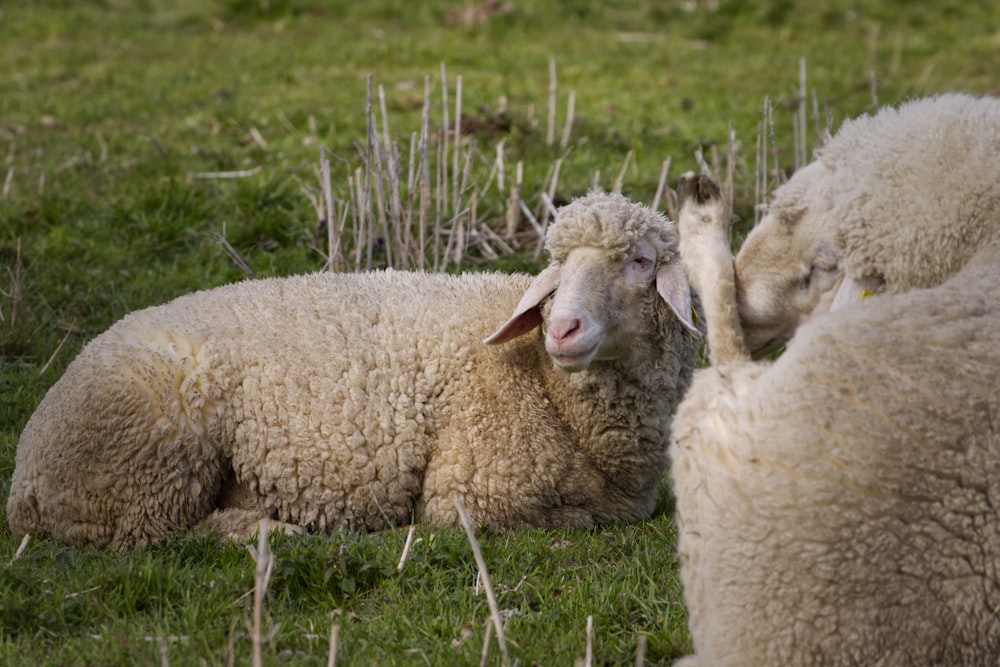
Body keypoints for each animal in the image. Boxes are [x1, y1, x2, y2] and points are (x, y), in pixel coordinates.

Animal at [3, 190, 700, 552]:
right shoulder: (471, 495)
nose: (562, 329)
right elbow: (570, 520)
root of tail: (25, 483)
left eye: (640, 262)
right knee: (167, 536)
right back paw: (274, 530)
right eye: (559, 267)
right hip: (154, 469)